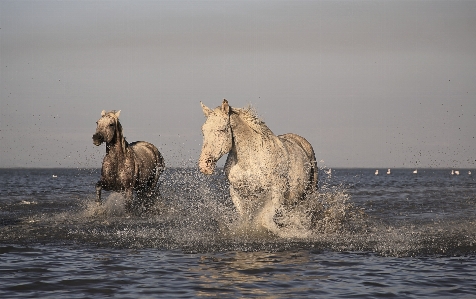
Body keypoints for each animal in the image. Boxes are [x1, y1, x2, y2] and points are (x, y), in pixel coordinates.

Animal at [199, 99, 318, 233]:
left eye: (222, 129)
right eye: (203, 131)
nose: (204, 165)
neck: (250, 161)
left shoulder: (277, 190)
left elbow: (266, 220)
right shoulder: (237, 191)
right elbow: (245, 217)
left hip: (308, 192)